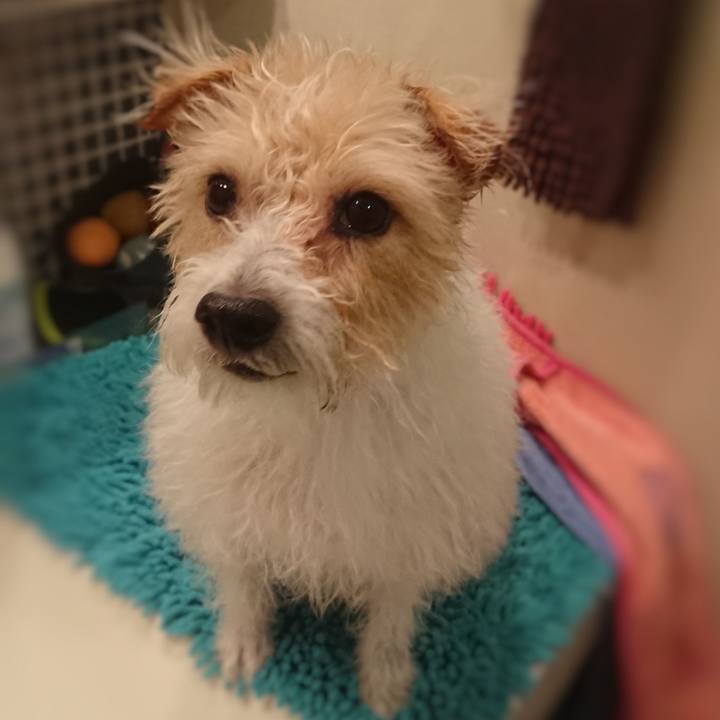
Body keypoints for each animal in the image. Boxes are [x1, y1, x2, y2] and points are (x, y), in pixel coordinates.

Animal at [142, 11, 519, 717]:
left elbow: (391, 618)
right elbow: (242, 583)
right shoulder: (229, 517)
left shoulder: (407, 547)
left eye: (366, 211)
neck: (306, 411)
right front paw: (240, 646)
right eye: (220, 191)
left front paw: (386, 680)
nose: (232, 315)